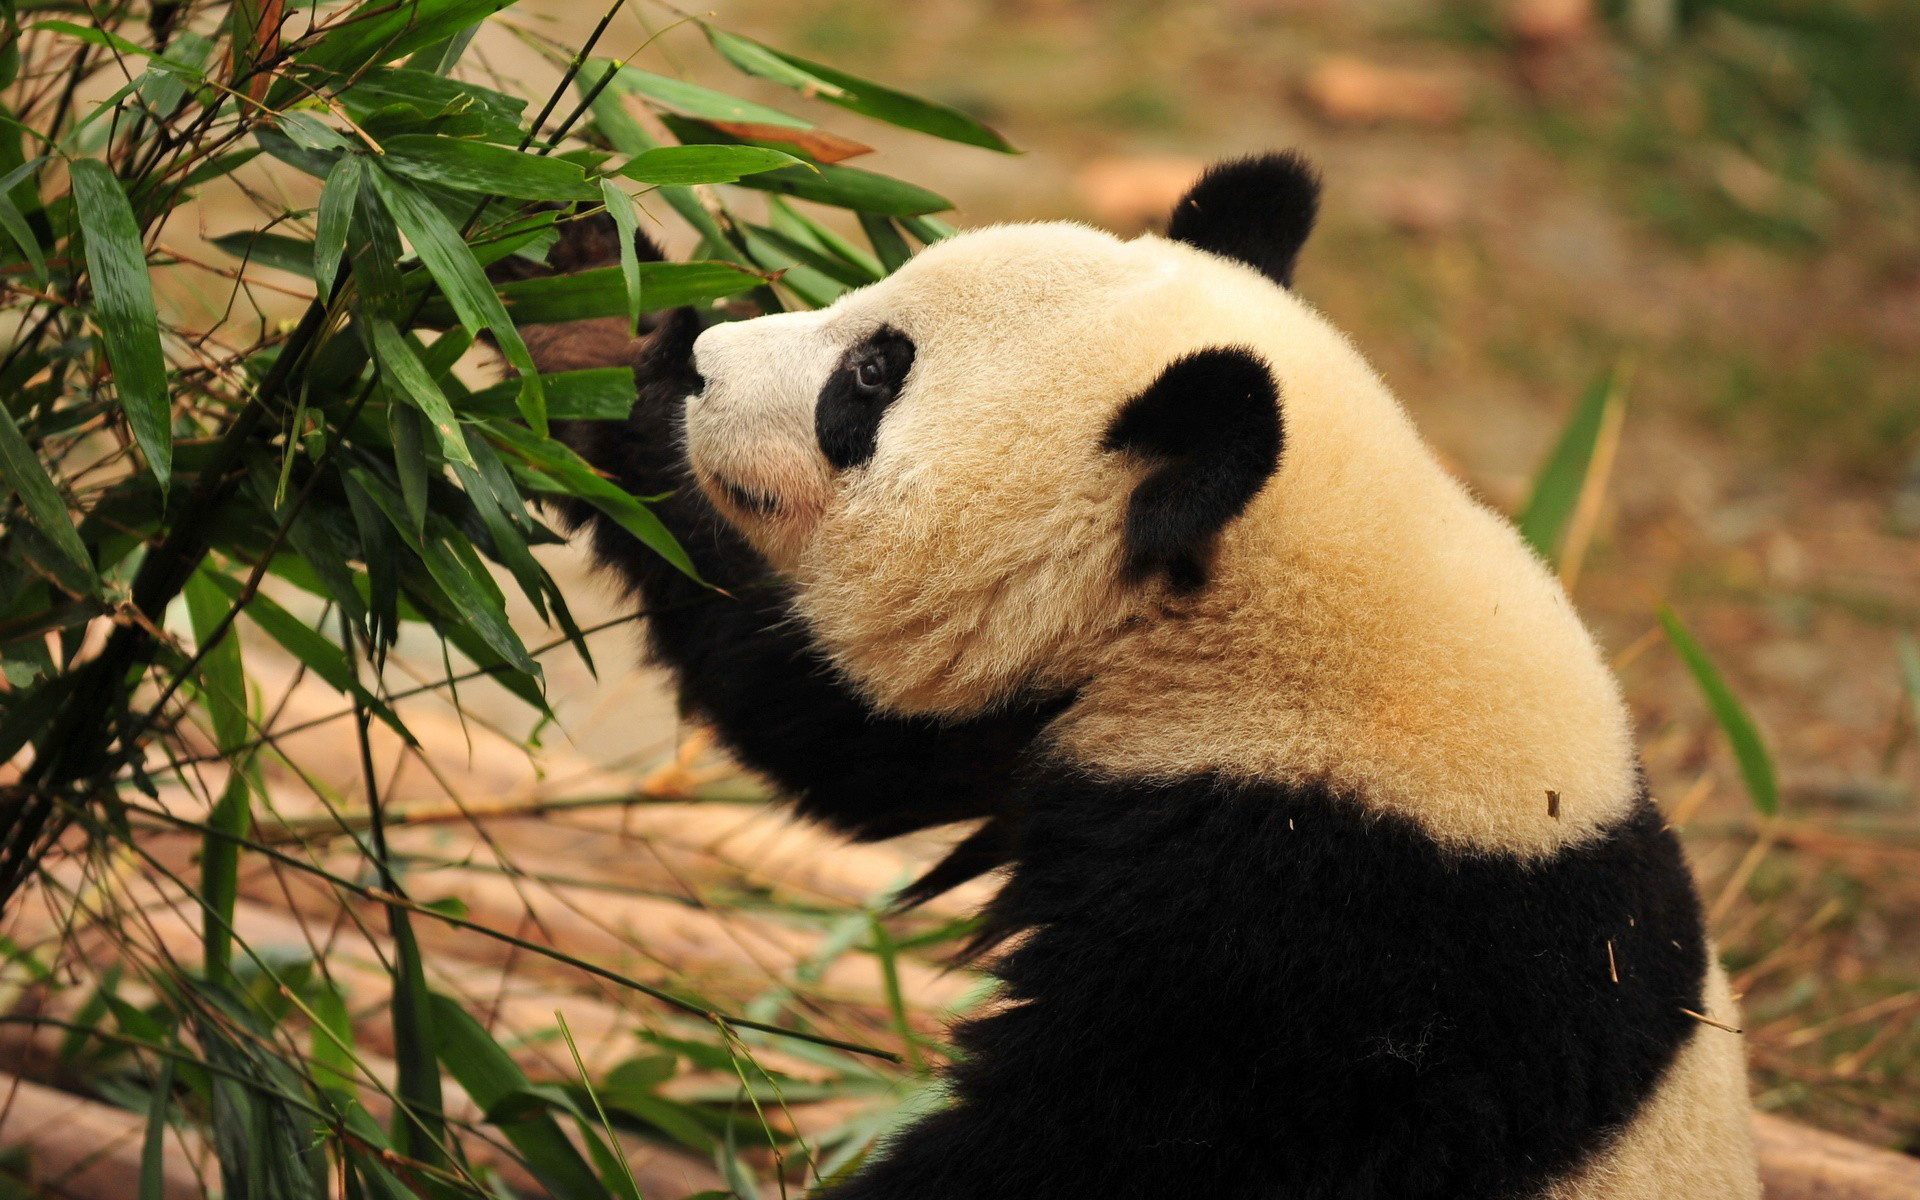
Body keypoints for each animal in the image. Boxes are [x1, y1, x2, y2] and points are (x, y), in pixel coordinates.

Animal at [522, 154, 1758, 1190]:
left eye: (870, 378)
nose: (706, 369)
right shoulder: (1066, 715)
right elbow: (837, 731)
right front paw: (582, 306)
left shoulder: (1320, 943)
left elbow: (1099, 1144)